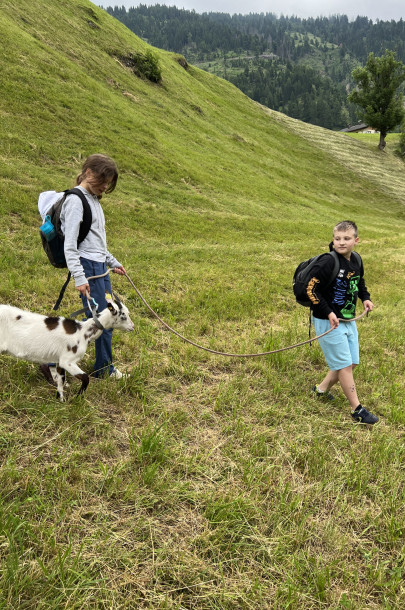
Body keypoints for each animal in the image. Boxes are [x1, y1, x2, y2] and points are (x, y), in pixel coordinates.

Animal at [0, 294, 133, 400]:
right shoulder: (67, 360)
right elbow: (85, 378)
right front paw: (77, 398)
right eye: (123, 316)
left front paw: (60, 400)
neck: (83, 332)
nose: (132, 327)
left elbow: (61, 380)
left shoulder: (59, 361)